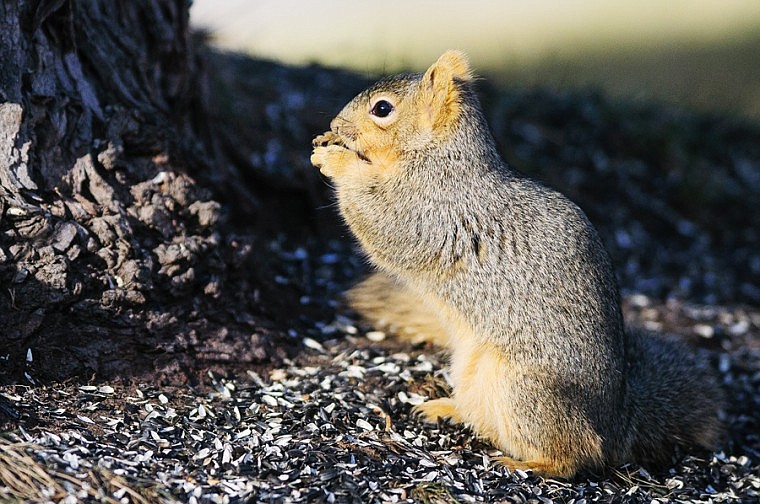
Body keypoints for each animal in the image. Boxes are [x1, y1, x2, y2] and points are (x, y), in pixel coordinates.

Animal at [310, 50, 723, 479]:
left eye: (382, 109)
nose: (334, 126)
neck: (440, 156)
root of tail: (617, 425)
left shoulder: (431, 209)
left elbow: (382, 216)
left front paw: (335, 159)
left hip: (521, 387)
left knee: (579, 453)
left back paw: (529, 463)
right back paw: (445, 409)